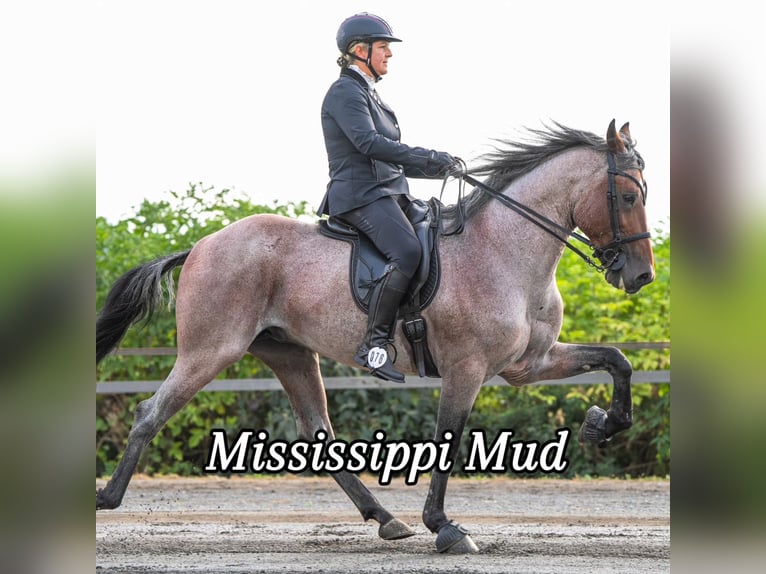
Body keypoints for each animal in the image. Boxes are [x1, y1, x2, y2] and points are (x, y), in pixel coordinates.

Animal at [96, 120, 655, 554]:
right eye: (628, 195)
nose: (641, 276)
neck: (503, 250)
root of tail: (199, 246)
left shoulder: (530, 364)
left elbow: (618, 360)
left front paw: (601, 424)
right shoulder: (467, 369)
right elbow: (449, 440)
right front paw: (445, 528)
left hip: (289, 353)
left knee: (317, 432)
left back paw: (386, 519)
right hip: (210, 351)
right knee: (150, 413)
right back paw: (106, 499)